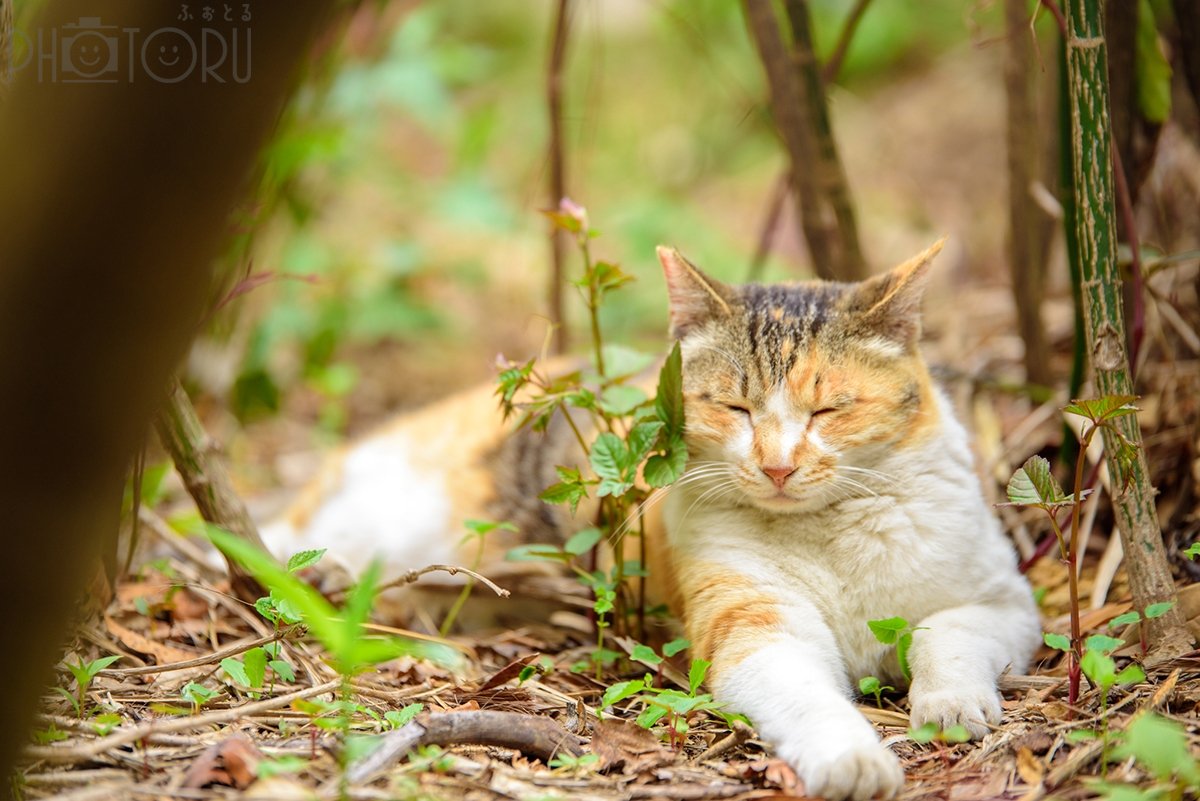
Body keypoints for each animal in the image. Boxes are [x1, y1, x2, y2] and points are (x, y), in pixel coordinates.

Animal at [262, 239, 1041, 801]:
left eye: (827, 409)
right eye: (734, 408)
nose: (777, 466)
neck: (829, 532)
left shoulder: (1008, 601)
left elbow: (946, 633)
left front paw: (952, 706)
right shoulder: (754, 631)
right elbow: (810, 698)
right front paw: (853, 757)